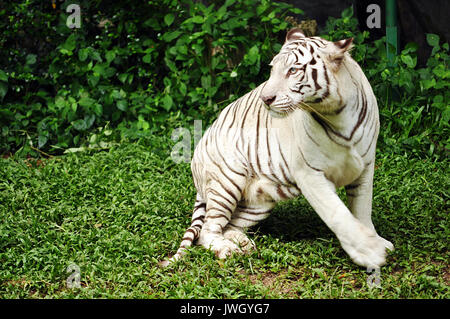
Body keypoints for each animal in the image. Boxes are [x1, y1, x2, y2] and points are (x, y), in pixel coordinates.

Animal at [160, 27, 392, 268]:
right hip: (227, 180)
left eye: (293, 70)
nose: (265, 98)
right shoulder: (309, 173)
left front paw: (376, 242)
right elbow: (337, 213)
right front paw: (369, 252)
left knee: (230, 225)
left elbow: (362, 208)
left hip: (259, 201)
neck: (337, 114)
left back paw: (243, 243)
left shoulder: (365, 166)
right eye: (273, 69)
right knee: (208, 229)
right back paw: (227, 249)